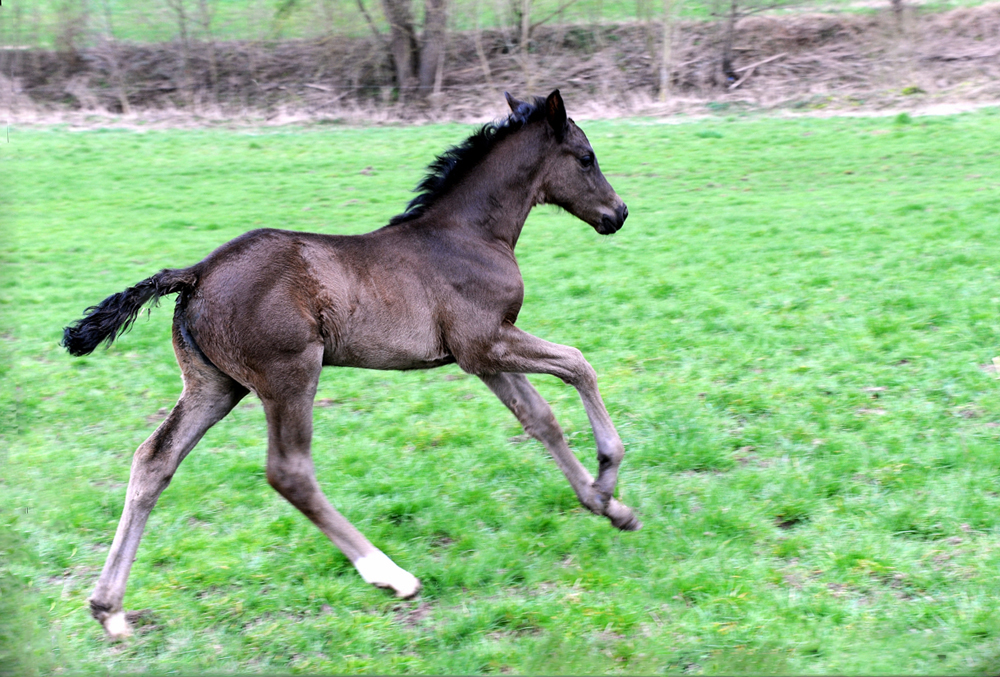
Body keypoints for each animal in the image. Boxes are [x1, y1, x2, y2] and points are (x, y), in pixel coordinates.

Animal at [64, 91, 640, 640]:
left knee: (153, 460)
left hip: (214, 386)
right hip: (290, 375)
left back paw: (109, 609)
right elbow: (578, 364)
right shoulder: (486, 342)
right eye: (586, 157)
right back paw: (390, 574)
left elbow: (540, 419)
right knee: (289, 471)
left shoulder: (480, 357)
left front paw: (607, 506)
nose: (619, 213)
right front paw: (608, 474)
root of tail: (198, 272)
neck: (469, 235)